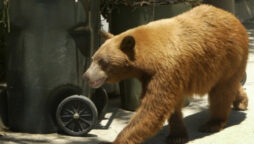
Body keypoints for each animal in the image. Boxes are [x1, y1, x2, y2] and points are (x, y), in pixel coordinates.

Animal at [83, 4, 248, 144]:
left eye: (103, 62)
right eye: (93, 58)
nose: (86, 76)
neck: (149, 57)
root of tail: (234, 18)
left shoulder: (166, 71)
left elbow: (153, 107)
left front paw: (120, 139)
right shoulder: (152, 76)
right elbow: (169, 104)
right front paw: (177, 135)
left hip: (229, 57)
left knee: (221, 92)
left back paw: (213, 123)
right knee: (229, 85)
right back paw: (241, 101)